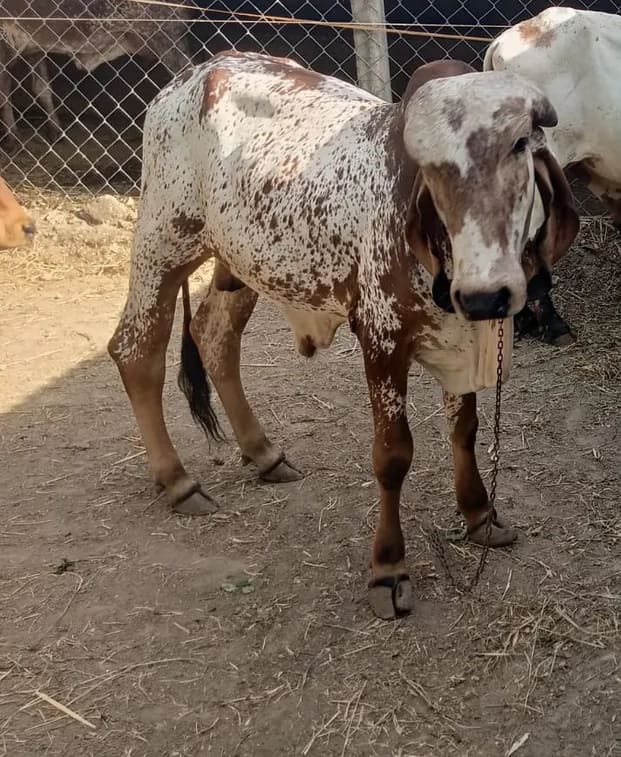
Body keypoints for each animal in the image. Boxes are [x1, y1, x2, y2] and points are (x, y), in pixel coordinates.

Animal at [0, 0, 193, 141]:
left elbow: (4, 93)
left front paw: (12, 137)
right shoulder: (35, 47)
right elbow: (42, 89)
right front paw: (56, 131)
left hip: (165, 38)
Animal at [108, 52, 579, 619]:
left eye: (519, 145)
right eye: (430, 166)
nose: (485, 295)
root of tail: (194, 74)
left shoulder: (463, 337)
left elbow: (464, 430)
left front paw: (479, 515)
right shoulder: (381, 337)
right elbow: (393, 455)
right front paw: (388, 568)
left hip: (243, 264)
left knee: (215, 336)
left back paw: (264, 454)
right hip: (163, 242)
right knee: (137, 351)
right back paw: (178, 481)